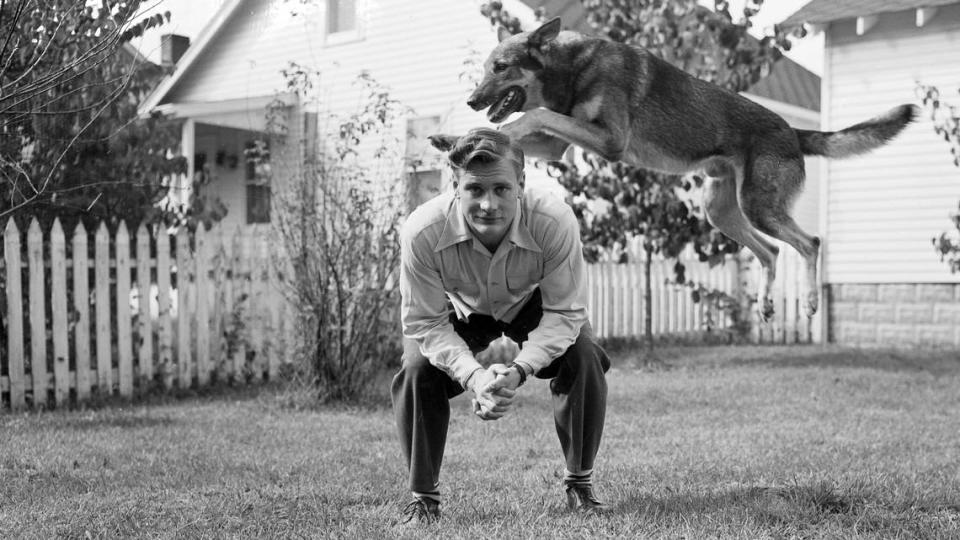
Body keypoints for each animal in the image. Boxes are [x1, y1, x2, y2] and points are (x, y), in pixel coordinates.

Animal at [440, 16, 916, 320]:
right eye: (484, 69)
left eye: (501, 67)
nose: (470, 99)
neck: (572, 68)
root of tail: (794, 131)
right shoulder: (559, 143)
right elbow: (514, 129)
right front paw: (457, 141)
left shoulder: (608, 140)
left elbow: (528, 119)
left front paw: (469, 136)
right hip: (723, 212)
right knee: (772, 251)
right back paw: (765, 305)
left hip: (758, 207)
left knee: (810, 243)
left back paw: (812, 304)